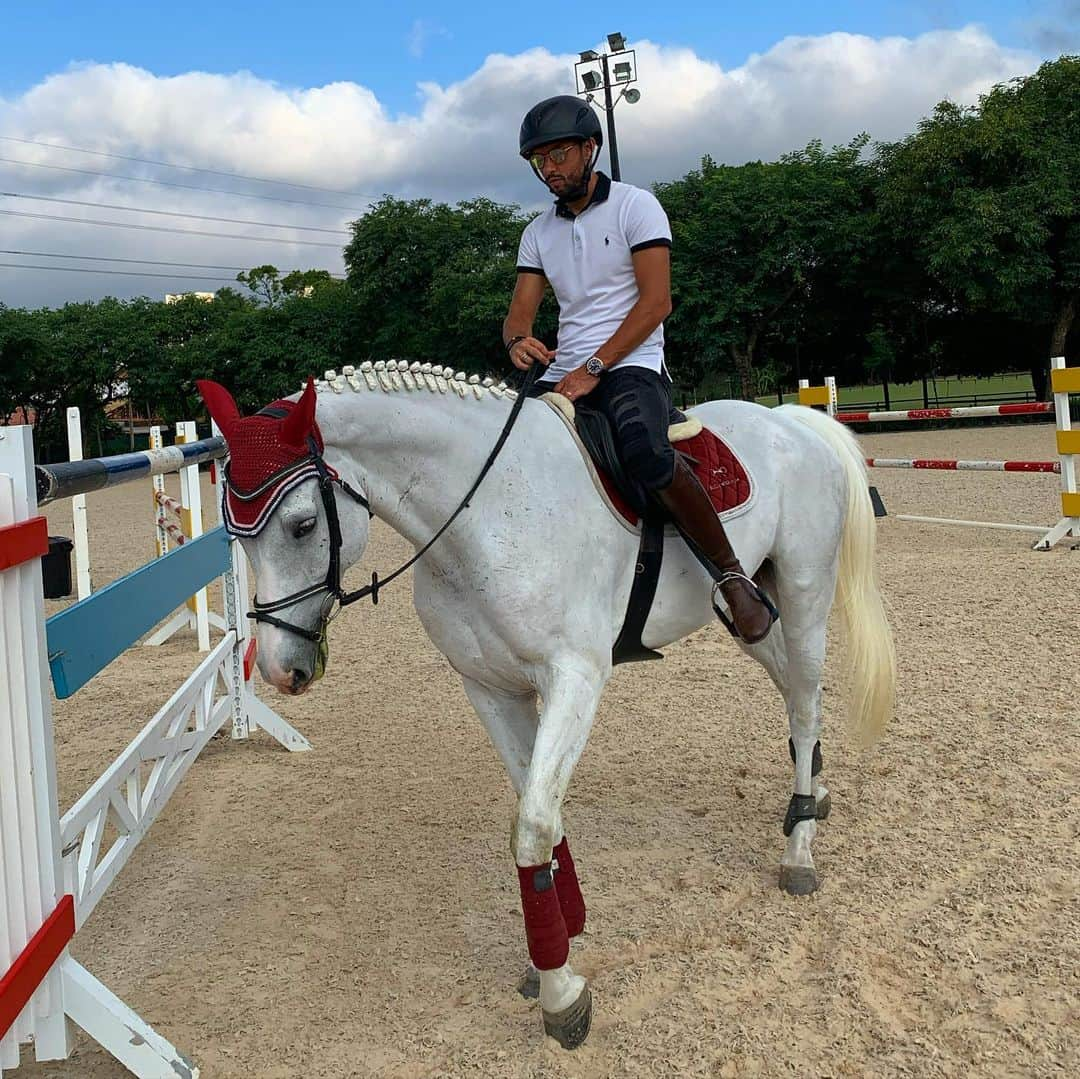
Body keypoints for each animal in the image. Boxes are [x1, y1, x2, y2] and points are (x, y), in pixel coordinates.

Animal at [200, 360, 894, 1045]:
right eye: (236, 534)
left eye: (303, 525)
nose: (281, 668)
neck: (487, 514)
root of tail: (792, 422)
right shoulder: (489, 687)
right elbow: (540, 812)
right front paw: (561, 938)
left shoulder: (575, 680)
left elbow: (532, 824)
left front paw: (562, 992)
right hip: (753, 614)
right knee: (793, 691)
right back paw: (817, 793)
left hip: (804, 597)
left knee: (805, 701)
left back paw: (799, 847)